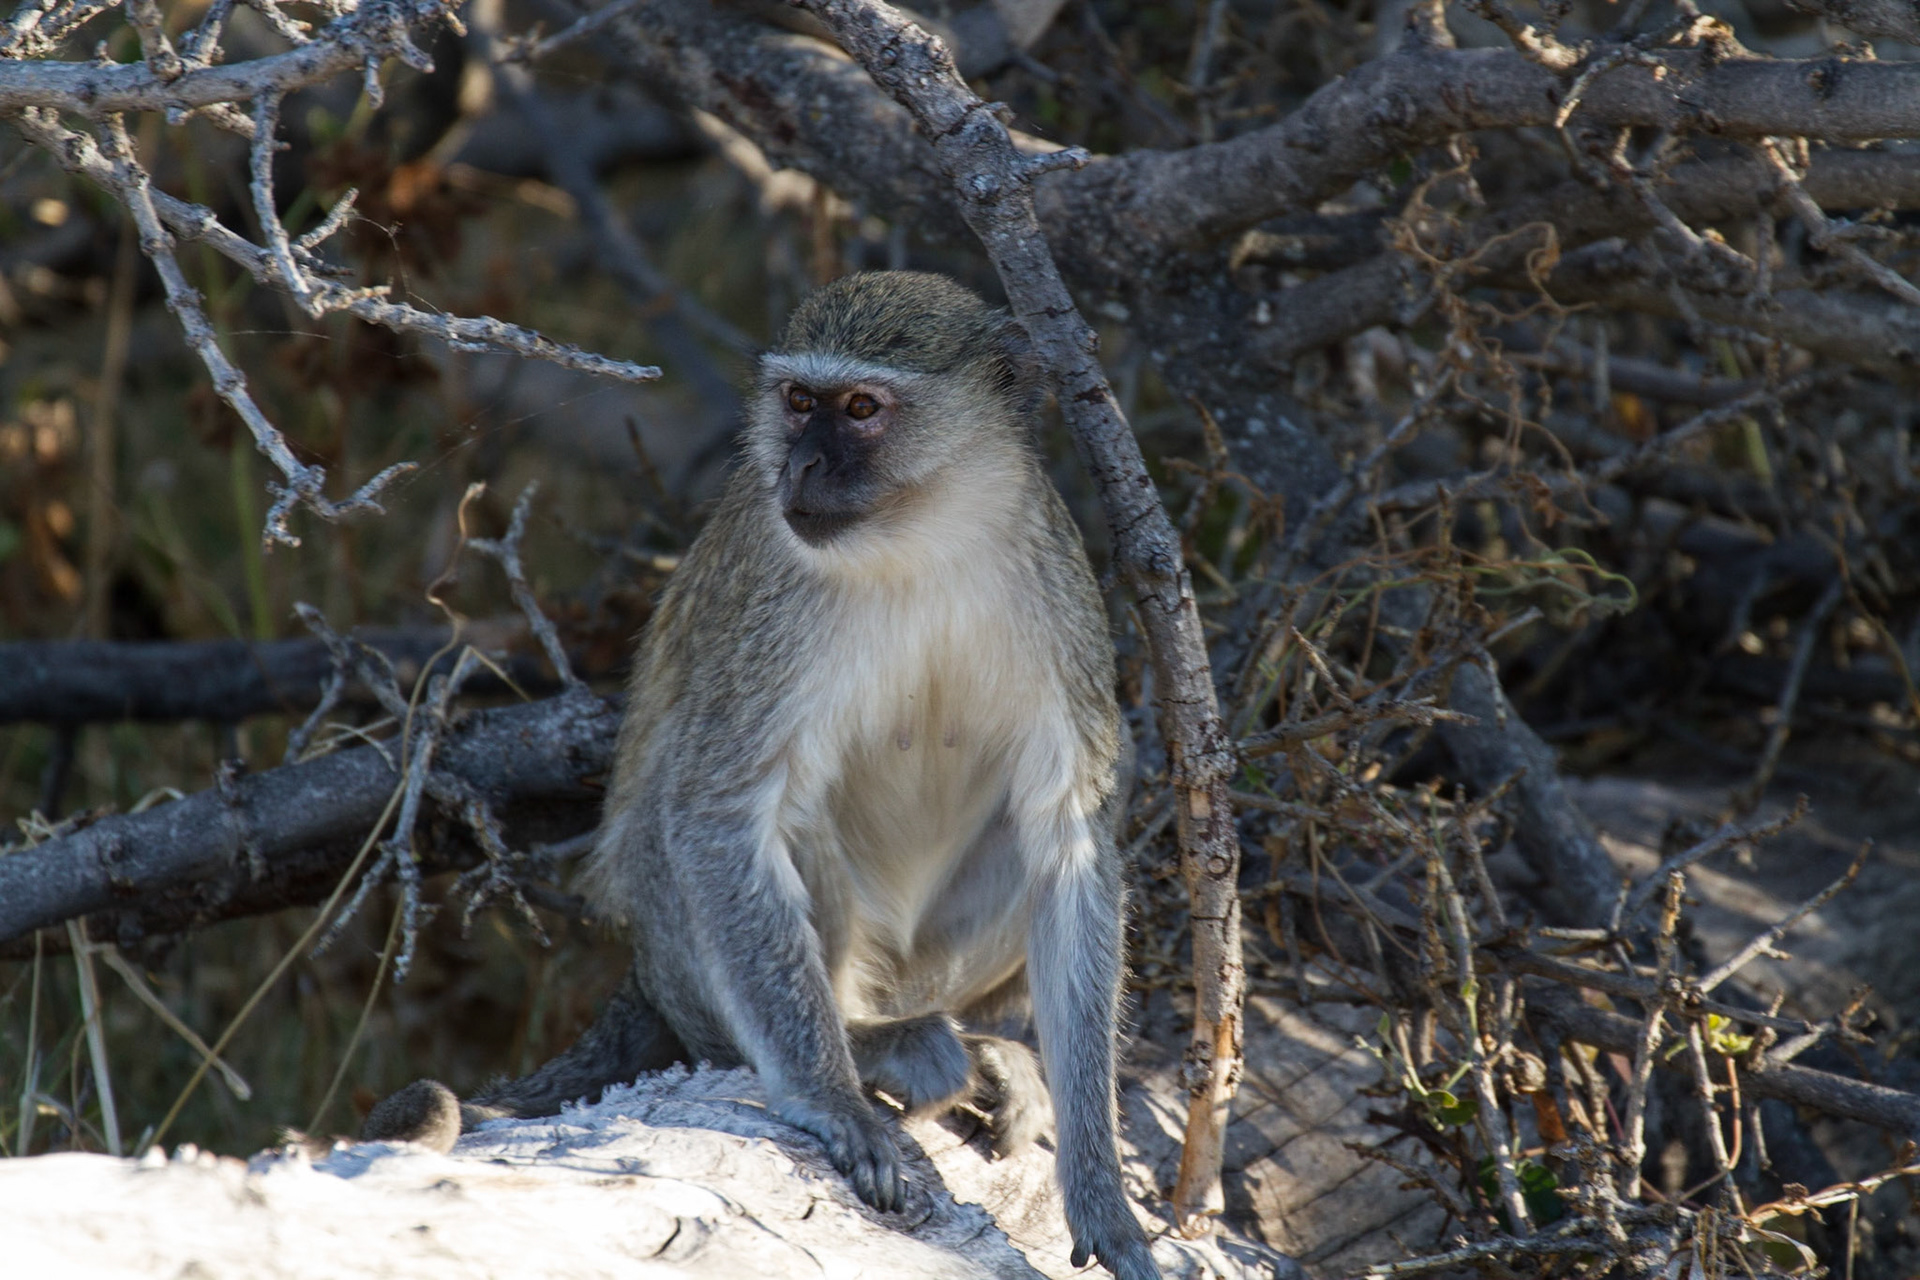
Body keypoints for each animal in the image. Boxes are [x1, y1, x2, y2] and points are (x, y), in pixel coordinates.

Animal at [365, 272, 1161, 1280]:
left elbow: (1068, 842)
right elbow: (716, 813)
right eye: (797, 402)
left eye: (860, 409)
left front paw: (1102, 1195)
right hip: (692, 959)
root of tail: (645, 973)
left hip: (928, 958)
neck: (925, 536)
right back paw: (871, 1044)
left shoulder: (1057, 589)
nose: (803, 469)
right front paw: (833, 1100)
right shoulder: (773, 613)